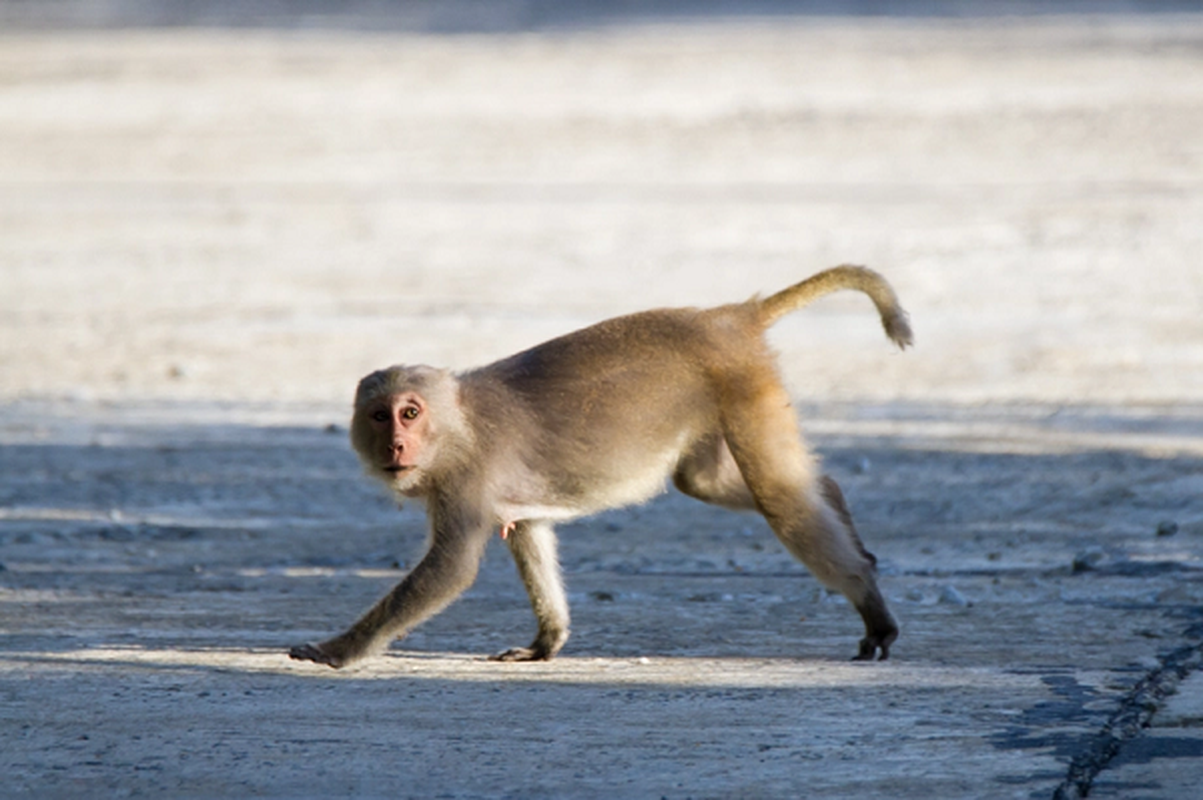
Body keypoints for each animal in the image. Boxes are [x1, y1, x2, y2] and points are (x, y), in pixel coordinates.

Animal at [291, 263, 909, 668]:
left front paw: (336, 651)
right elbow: (529, 534)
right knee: (708, 481)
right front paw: (545, 643)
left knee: (778, 496)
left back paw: (866, 597)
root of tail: (730, 318)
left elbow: (451, 568)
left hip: (744, 385)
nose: (395, 445)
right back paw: (836, 500)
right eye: (379, 415)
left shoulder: (465, 481)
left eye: (410, 413)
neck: (456, 430)